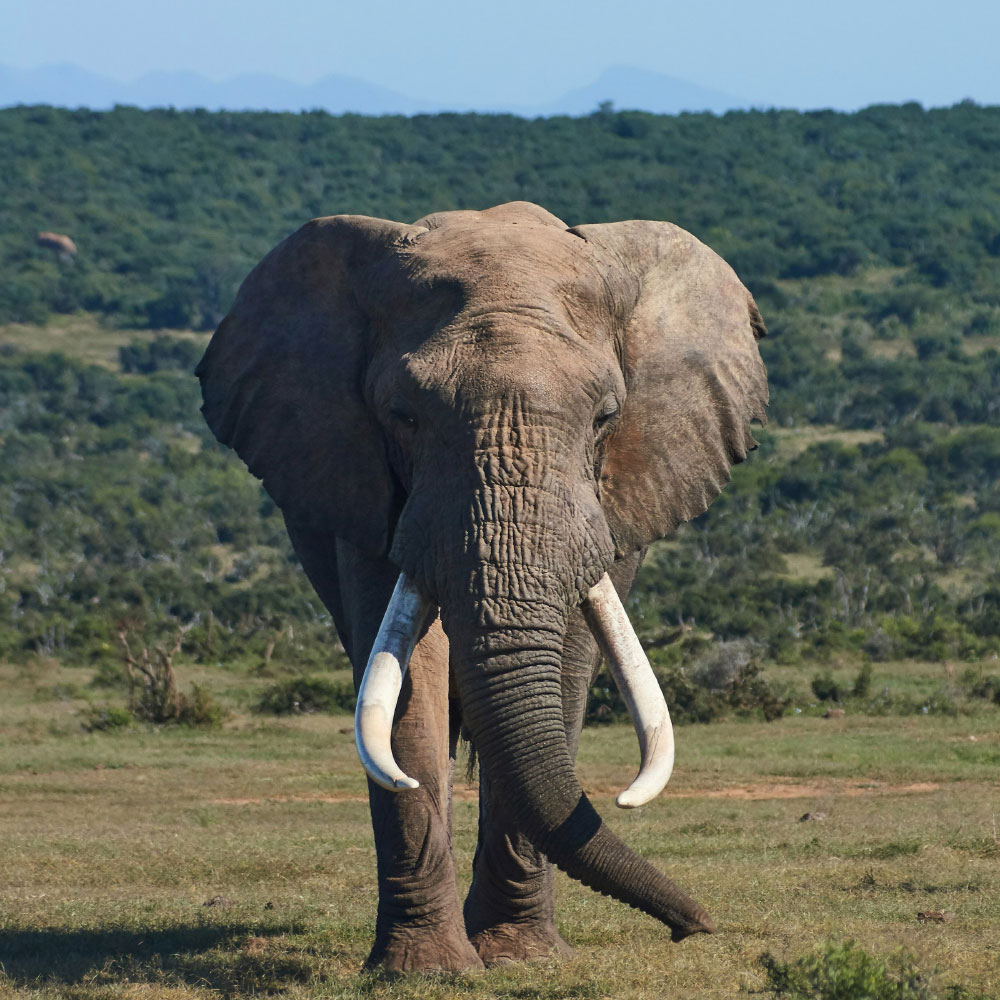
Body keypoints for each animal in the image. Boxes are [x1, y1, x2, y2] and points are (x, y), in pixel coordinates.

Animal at [196, 200, 767, 973]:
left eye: (605, 417)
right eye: (402, 415)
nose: (695, 926)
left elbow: (569, 660)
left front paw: (523, 960)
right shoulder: (366, 485)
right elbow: (409, 676)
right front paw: (425, 970)